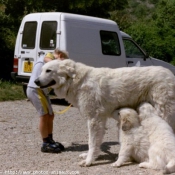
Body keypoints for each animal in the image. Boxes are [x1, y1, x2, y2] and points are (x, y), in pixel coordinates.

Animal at [34, 59, 175, 166]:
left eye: (48, 70)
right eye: (42, 70)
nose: (35, 81)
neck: (76, 81)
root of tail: (170, 74)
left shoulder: (94, 119)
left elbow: (91, 142)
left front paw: (88, 161)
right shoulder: (99, 120)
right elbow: (95, 143)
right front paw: (90, 156)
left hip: (163, 113)